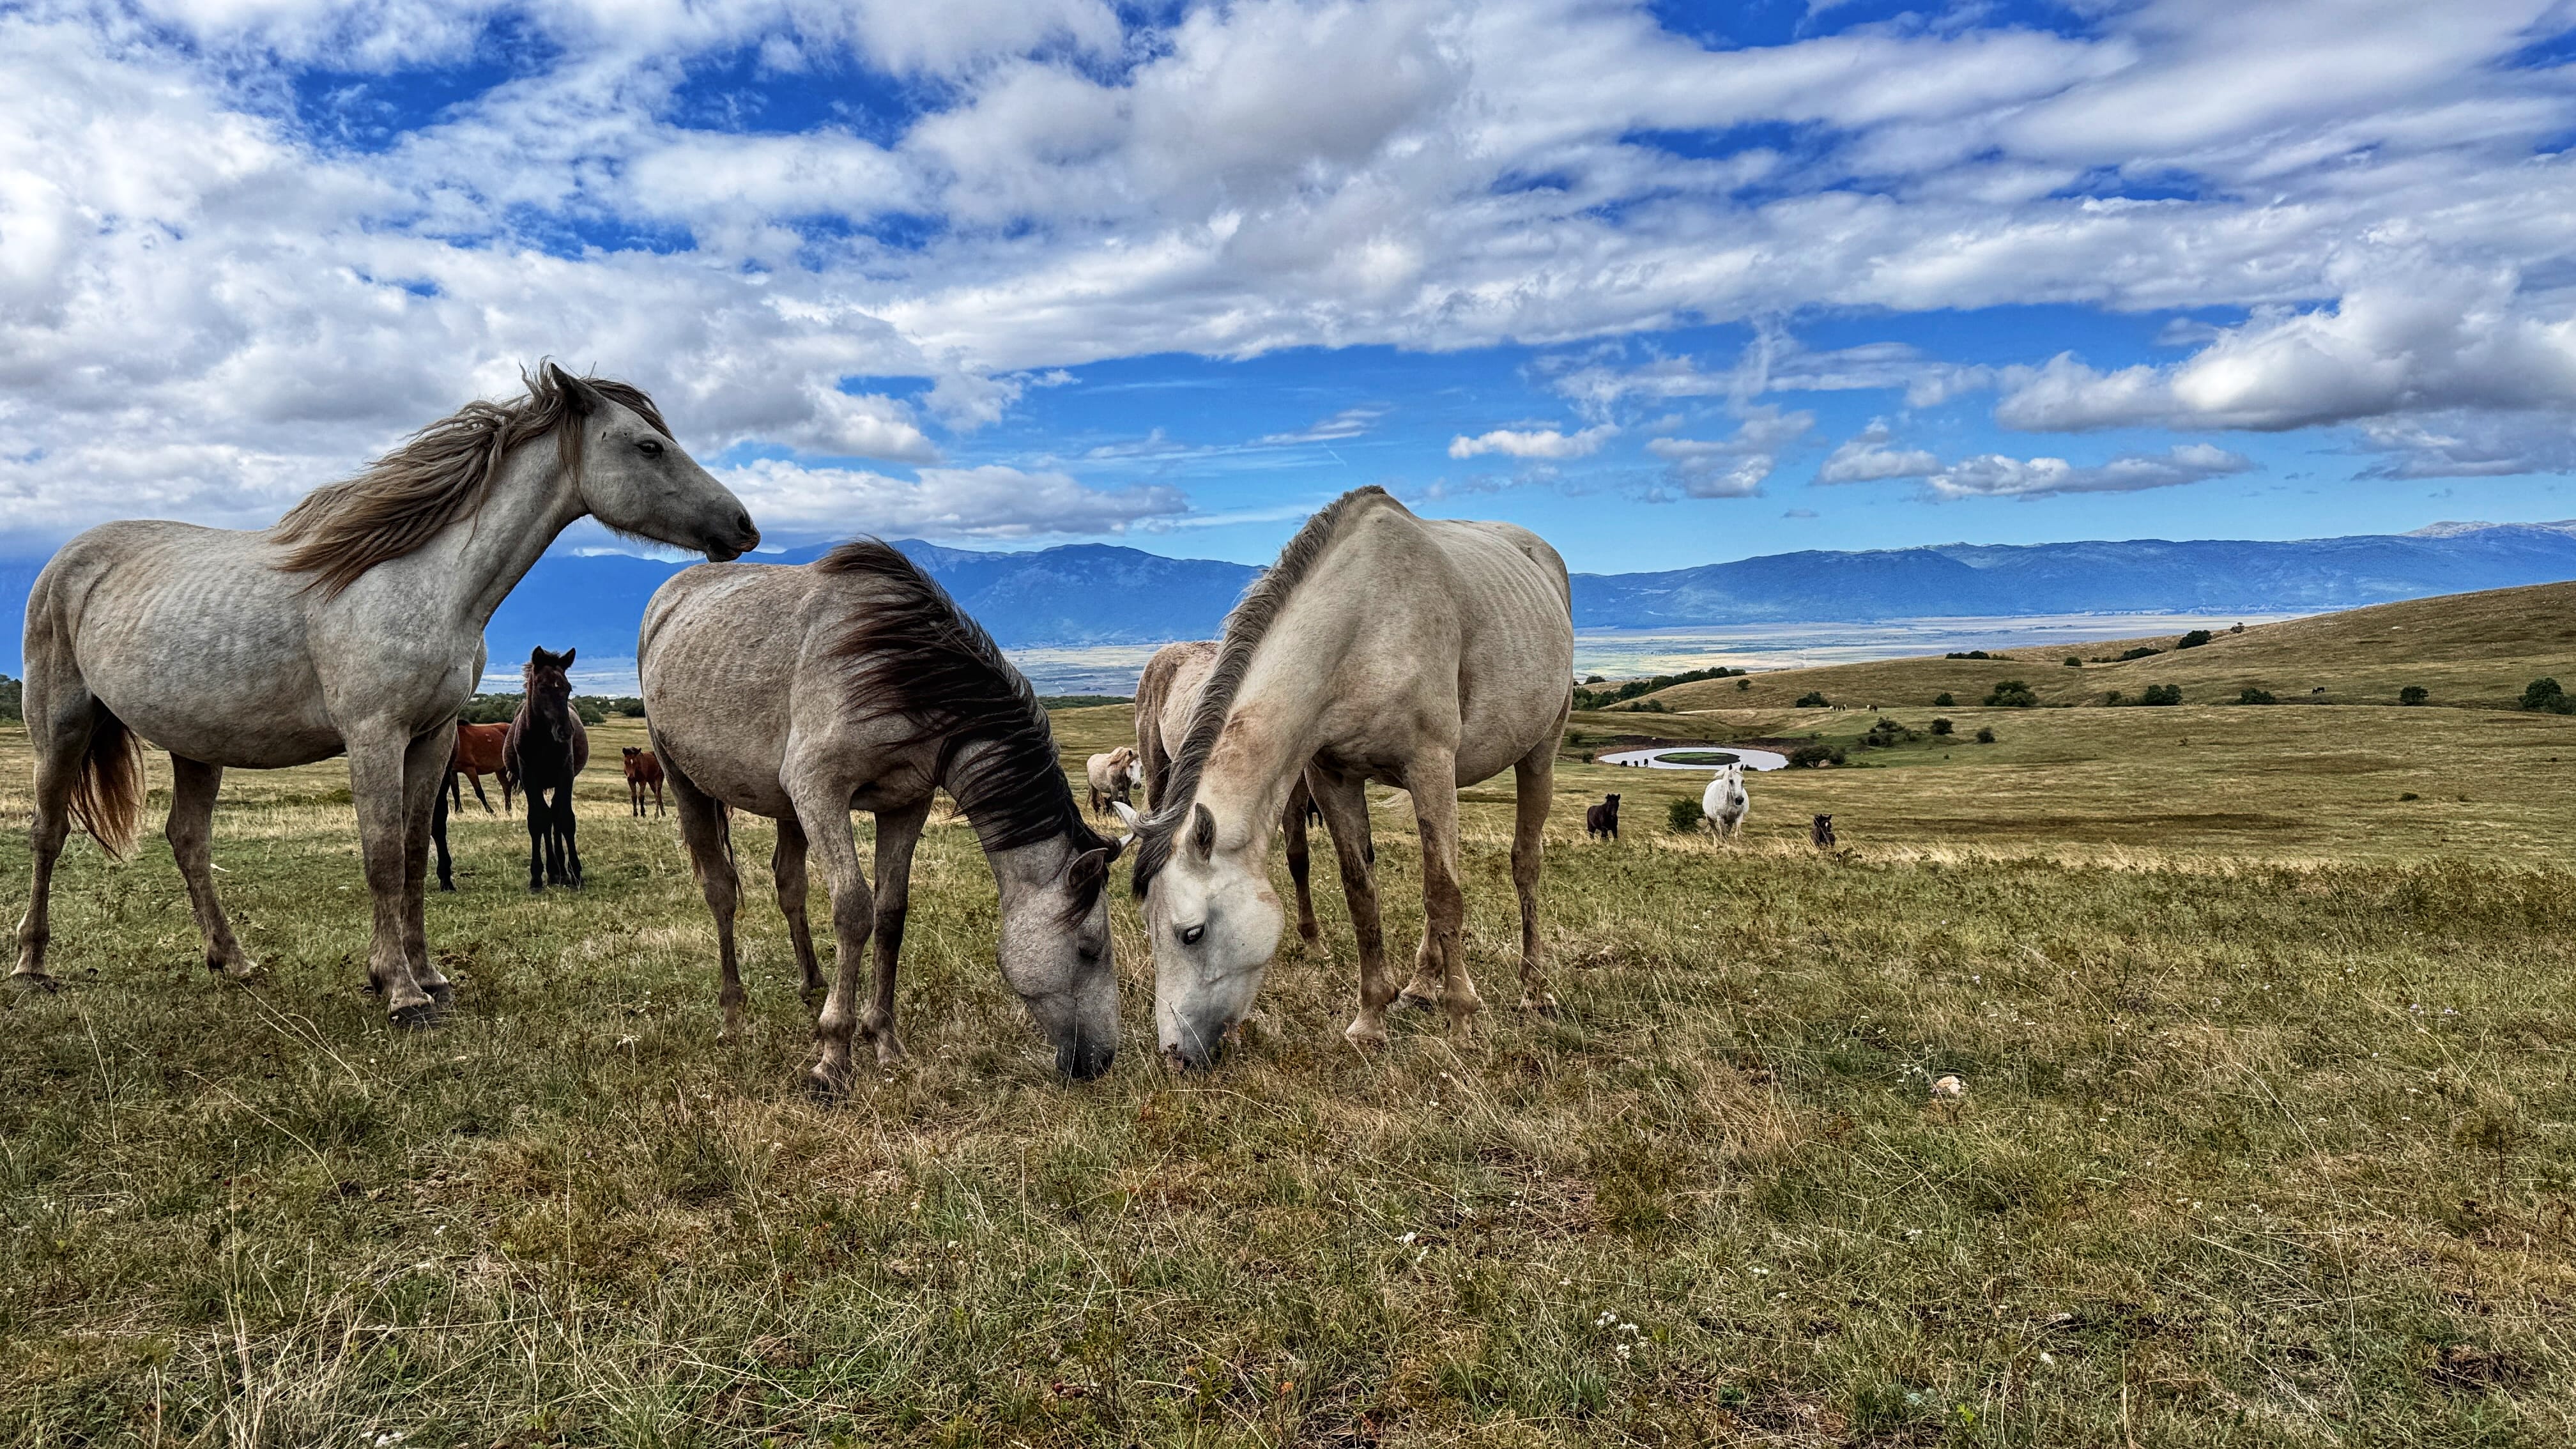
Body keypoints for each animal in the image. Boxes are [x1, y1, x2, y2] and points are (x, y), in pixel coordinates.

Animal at [451, 721, 513, 814]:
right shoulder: (452, 772)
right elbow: (455, 792)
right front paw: (459, 812)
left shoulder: (470, 769)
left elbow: (479, 792)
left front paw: (491, 812)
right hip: (500, 770)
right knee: (506, 787)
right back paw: (508, 811)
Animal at [506, 648, 588, 890]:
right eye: (542, 688)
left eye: (568, 688)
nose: (565, 731)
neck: (542, 740)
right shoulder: (529, 776)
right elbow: (536, 821)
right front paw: (536, 876)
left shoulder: (565, 773)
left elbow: (566, 820)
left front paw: (576, 872)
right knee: (546, 818)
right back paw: (553, 872)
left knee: (555, 815)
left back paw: (561, 871)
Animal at [640, 538, 1124, 1092]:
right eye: (1089, 949)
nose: (1102, 1060)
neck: (898, 671)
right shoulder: (819, 793)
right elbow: (853, 910)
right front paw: (833, 1056)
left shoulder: (905, 804)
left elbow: (891, 913)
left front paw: (884, 1041)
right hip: (684, 783)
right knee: (720, 890)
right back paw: (733, 1015)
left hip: (785, 810)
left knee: (789, 884)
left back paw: (812, 984)